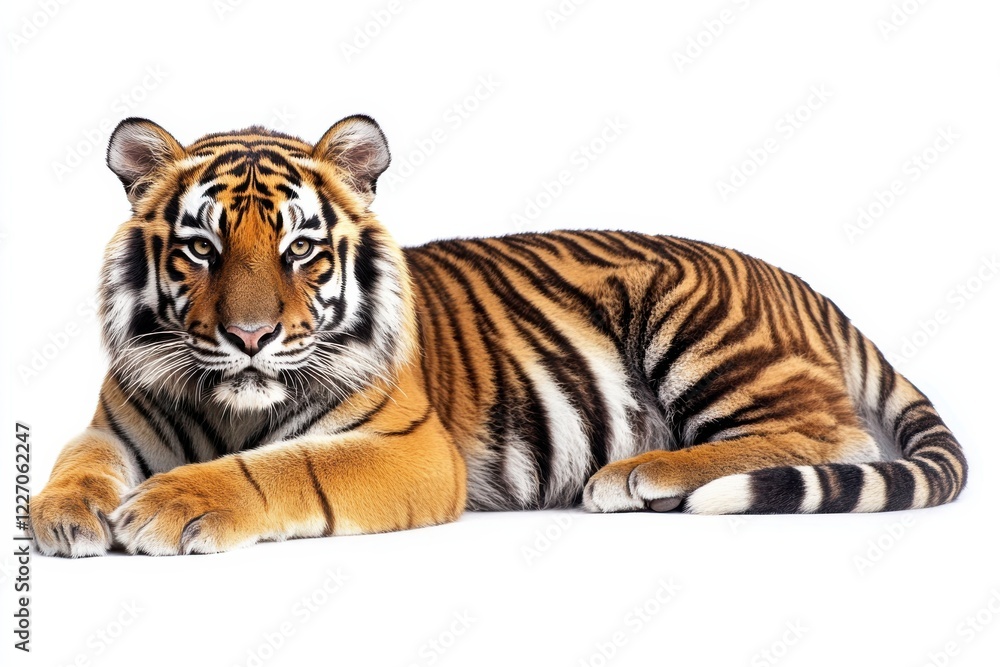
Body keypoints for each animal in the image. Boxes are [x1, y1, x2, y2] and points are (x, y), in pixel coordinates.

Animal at [30, 115, 967, 557]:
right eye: (202, 248)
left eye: (300, 249)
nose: (253, 336)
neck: (230, 403)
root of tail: (798, 280)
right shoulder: (115, 424)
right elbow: (78, 459)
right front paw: (62, 515)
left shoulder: (406, 446)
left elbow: (284, 467)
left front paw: (173, 504)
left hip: (696, 325)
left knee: (826, 434)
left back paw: (638, 474)